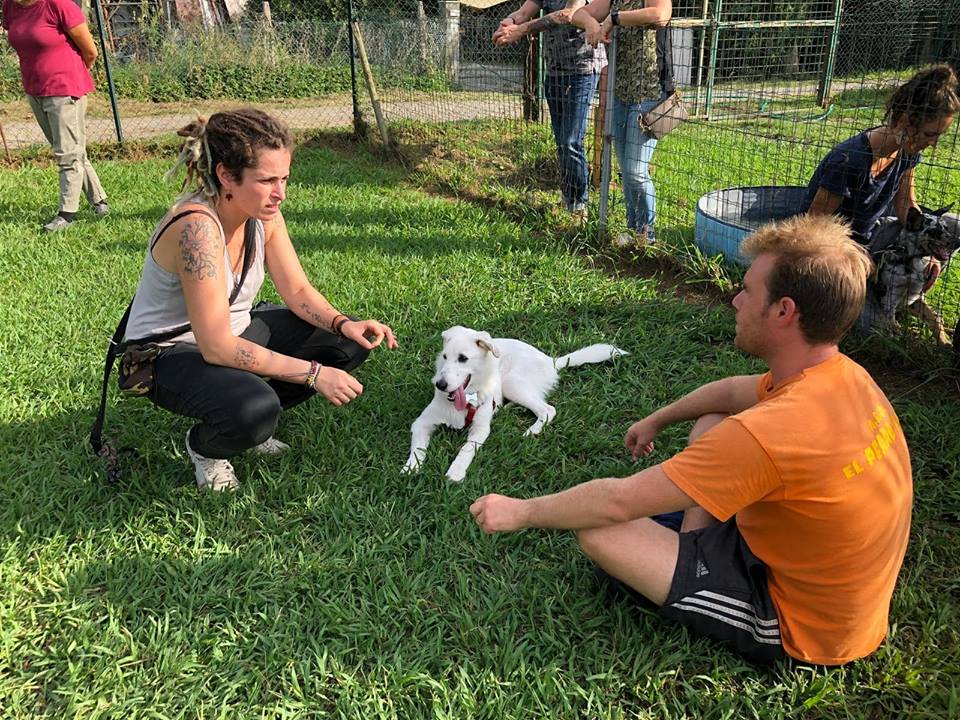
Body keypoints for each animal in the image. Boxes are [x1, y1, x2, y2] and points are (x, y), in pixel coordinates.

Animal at [402, 326, 628, 484]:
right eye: (445, 357)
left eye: (463, 358)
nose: (440, 385)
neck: (467, 400)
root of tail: (551, 360)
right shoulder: (421, 423)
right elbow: (418, 448)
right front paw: (412, 467)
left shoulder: (480, 429)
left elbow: (466, 449)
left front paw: (456, 471)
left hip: (511, 382)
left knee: (548, 409)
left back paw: (532, 431)